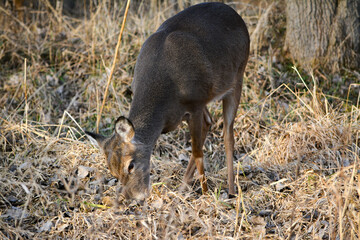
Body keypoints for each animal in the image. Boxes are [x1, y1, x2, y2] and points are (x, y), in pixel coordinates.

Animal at [87, 2, 250, 201]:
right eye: (112, 171)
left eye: (131, 165)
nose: (136, 196)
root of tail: (235, 14)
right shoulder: (188, 109)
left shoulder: (195, 103)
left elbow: (198, 152)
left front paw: (205, 194)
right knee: (210, 122)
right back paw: (183, 188)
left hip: (238, 77)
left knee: (228, 135)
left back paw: (231, 190)